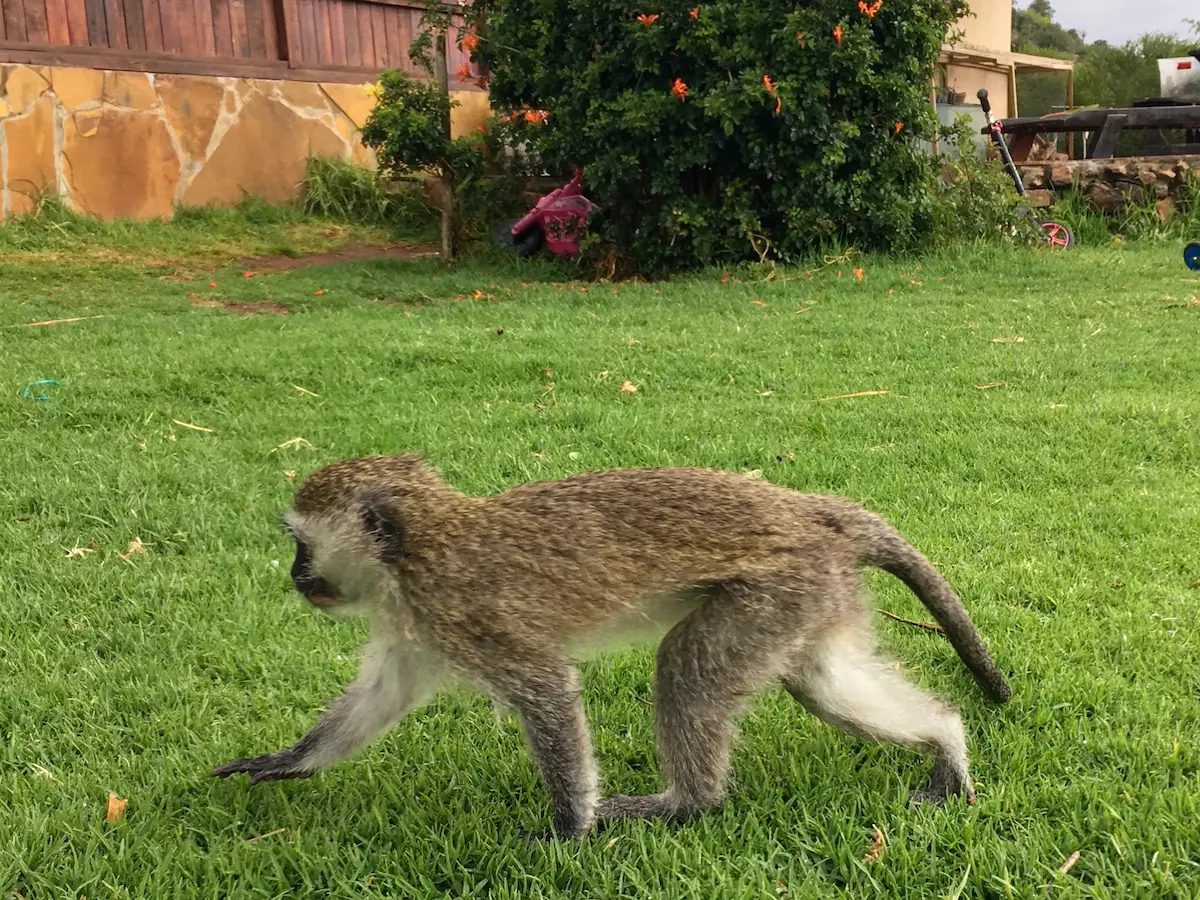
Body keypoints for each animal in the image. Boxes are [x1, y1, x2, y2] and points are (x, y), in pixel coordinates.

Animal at [212, 454, 1011, 840]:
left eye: (300, 544)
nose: (294, 577)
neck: (416, 551)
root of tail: (808, 510)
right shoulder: (417, 628)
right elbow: (379, 699)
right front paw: (284, 763)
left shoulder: (462, 612)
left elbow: (548, 690)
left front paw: (570, 829)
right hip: (811, 596)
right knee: (821, 683)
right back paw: (946, 739)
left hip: (779, 588)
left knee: (688, 670)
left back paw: (689, 804)